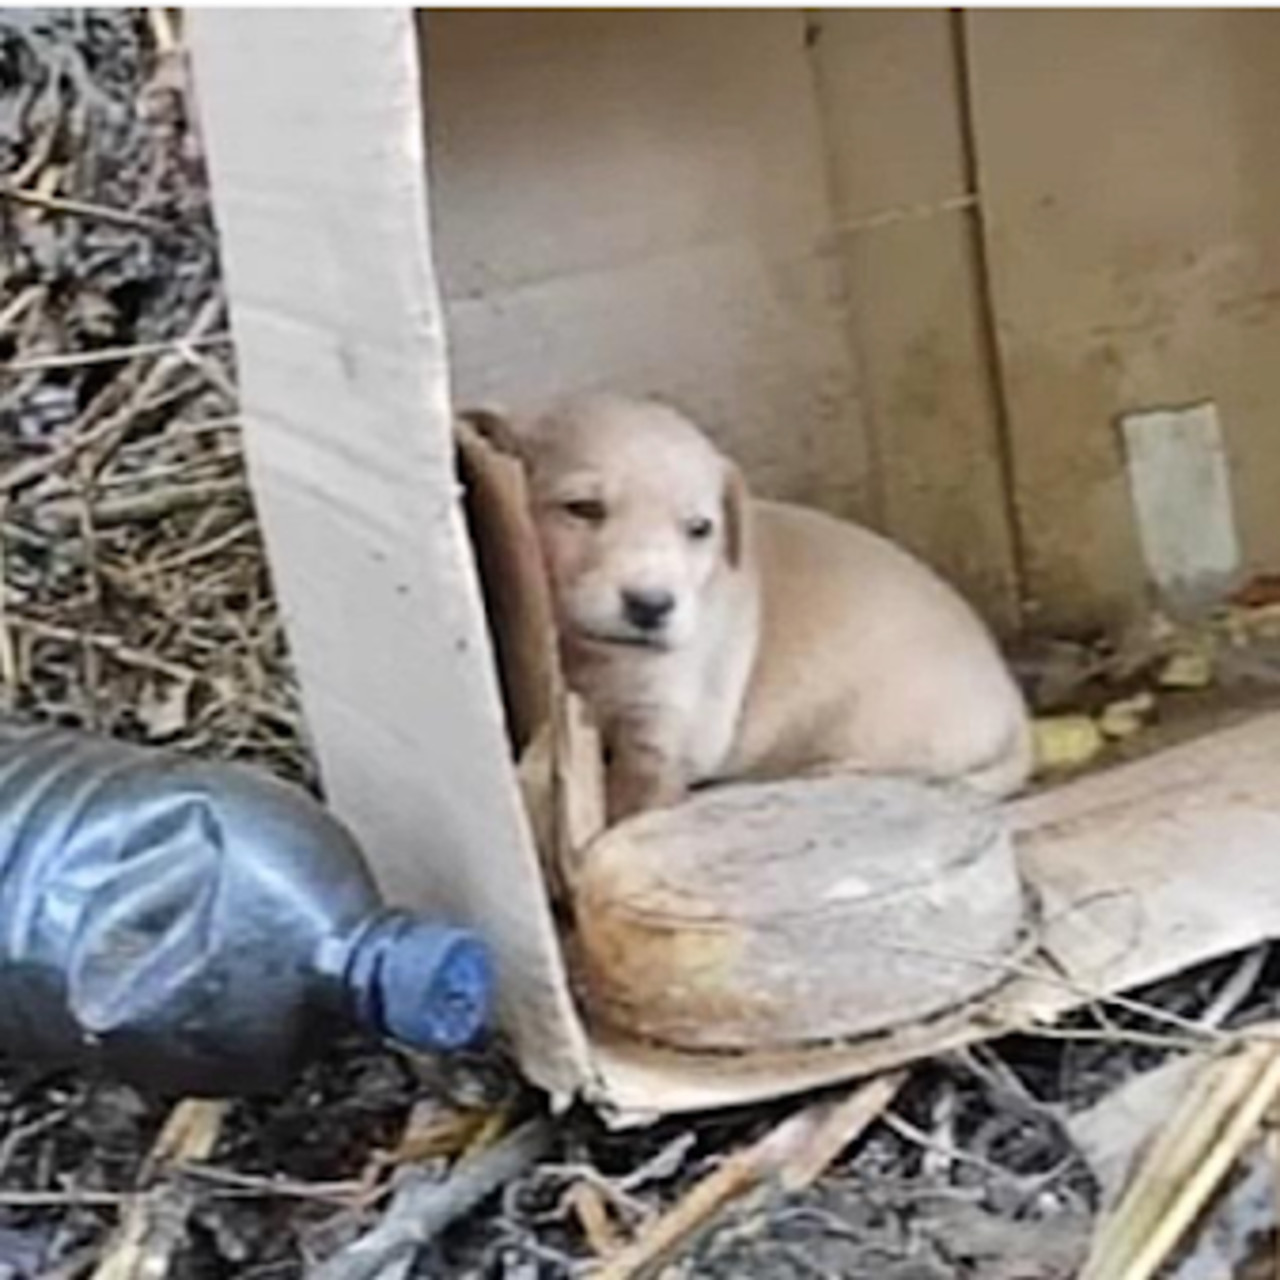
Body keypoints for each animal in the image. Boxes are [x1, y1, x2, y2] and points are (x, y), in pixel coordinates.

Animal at [489, 393, 1032, 823]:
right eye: (582, 508)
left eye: (699, 529)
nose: (651, 606)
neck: (598, 655)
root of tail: (1014, 706)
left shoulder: (668, 721)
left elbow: (638, 795)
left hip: (883, 732)